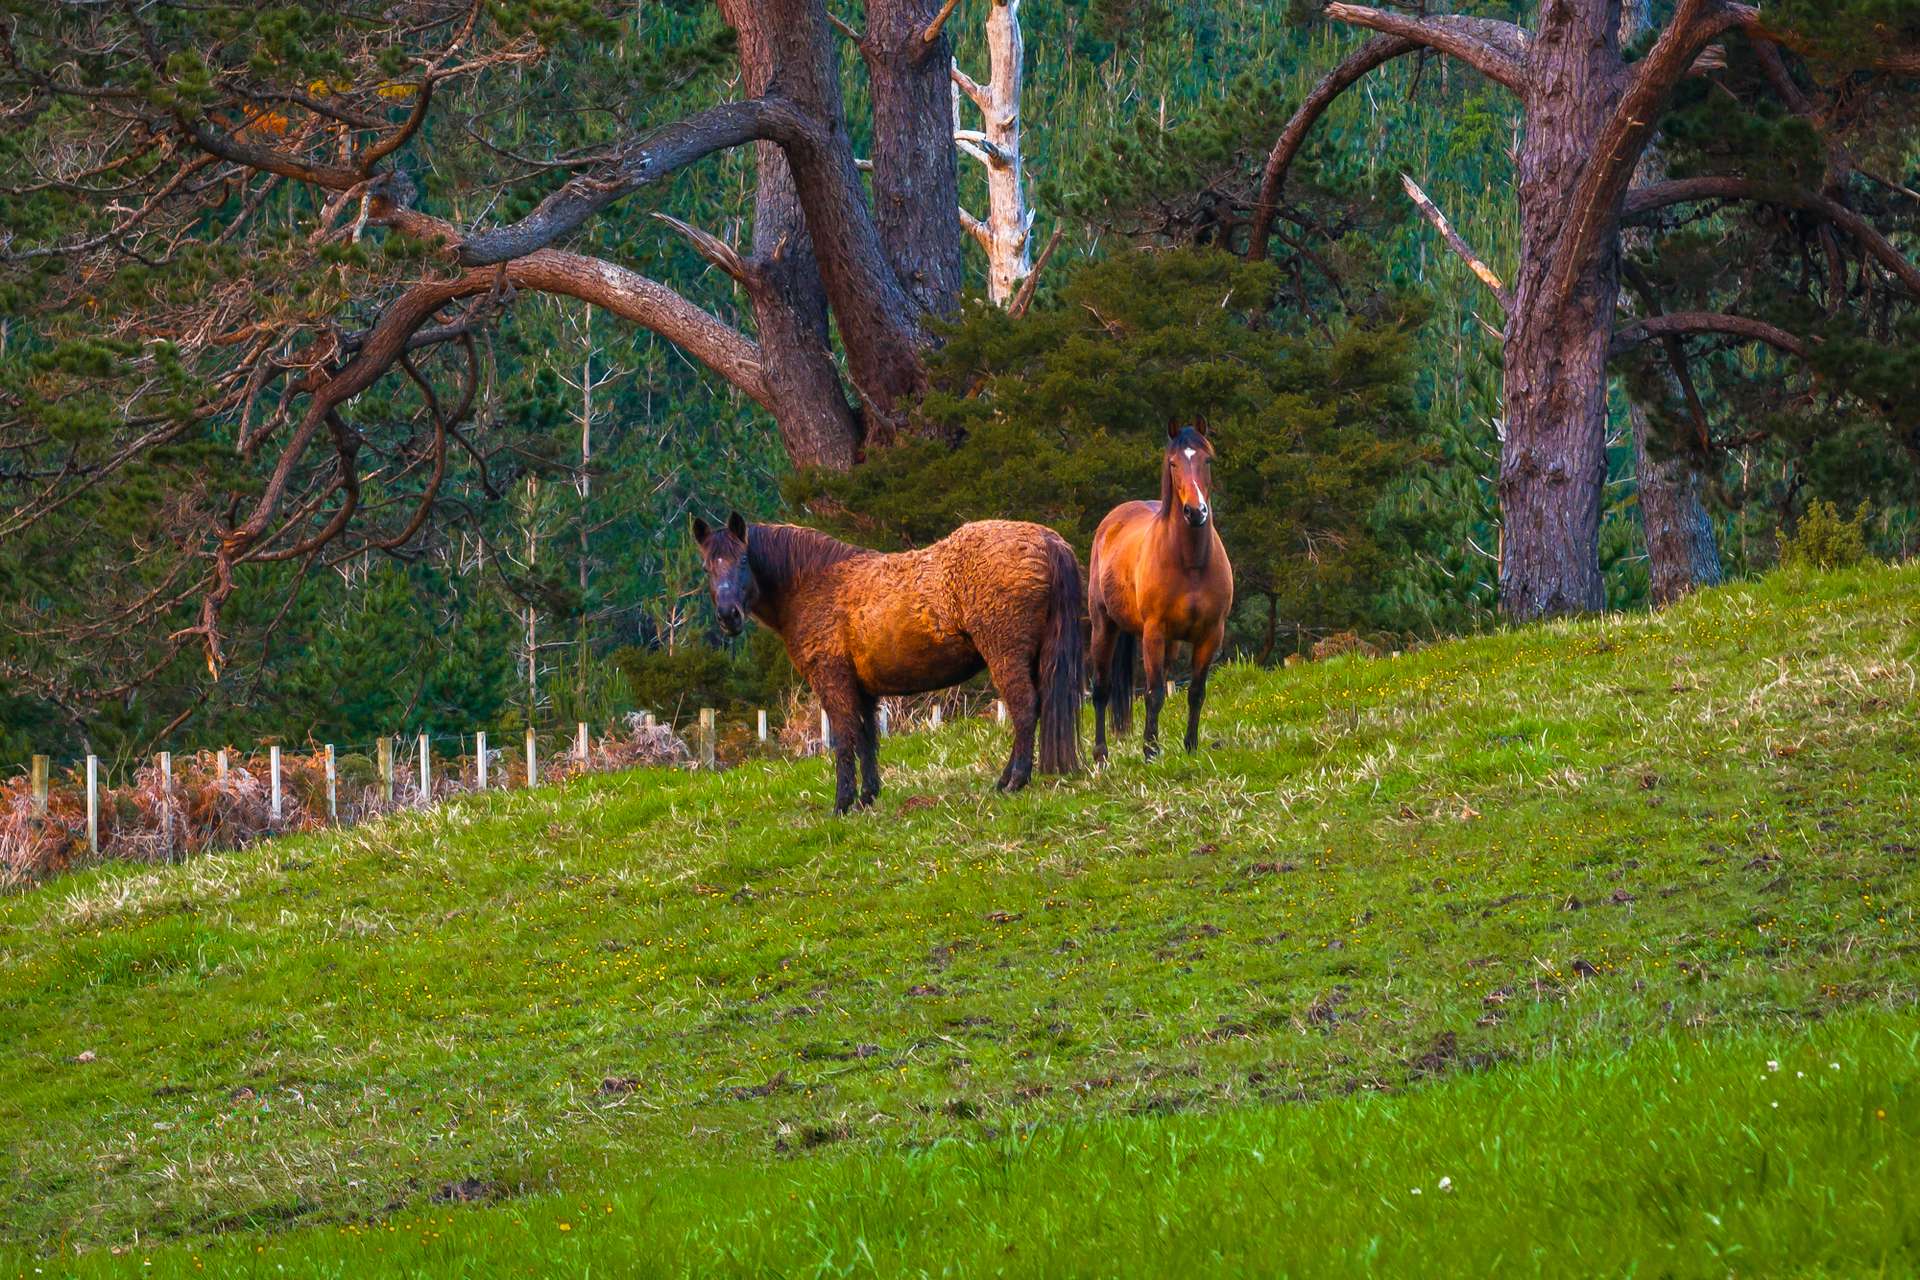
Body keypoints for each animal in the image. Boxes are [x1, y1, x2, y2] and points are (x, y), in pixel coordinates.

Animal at [695, 510, 1090, 809]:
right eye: (707, 568)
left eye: (743, 559)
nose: (728, 616)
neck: (813, 584)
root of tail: (1047, 540)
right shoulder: (864, 689)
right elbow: (867, 737)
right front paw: (867, 797)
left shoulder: (832, 679)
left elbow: (844, 738)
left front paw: (842, 803)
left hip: (1006, 653)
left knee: (1024, 708)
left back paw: (1014, 781)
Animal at [1090, 422, 1236, 759]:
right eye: (1173, 464)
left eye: (1207, 460)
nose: (1196, 512)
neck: (1191, 563)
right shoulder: (1153, 632)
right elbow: (1154, 693)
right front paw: (1150, 751)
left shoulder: (1211, 634)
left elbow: (1196, 692)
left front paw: (1191, 746)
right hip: (1104, 626)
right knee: (1101, 689)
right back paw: (1100, 754)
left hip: (1171, 642)